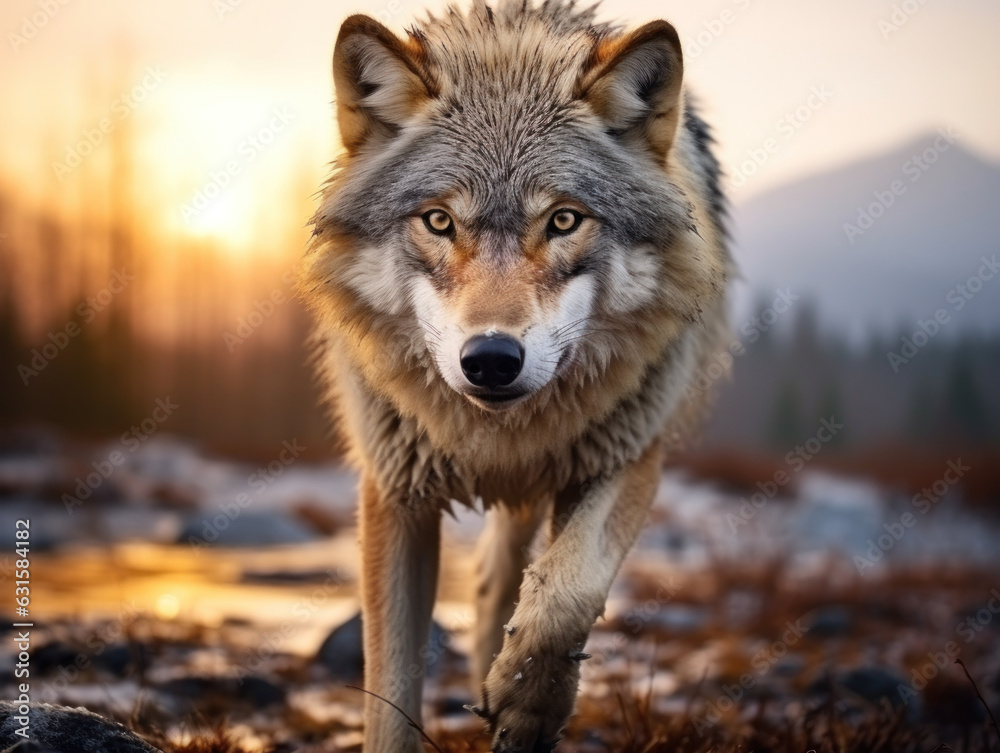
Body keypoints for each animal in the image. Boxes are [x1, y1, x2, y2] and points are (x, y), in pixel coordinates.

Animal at [300, 0, 731, 749]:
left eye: (562, 220)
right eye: (438, 221)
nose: (492, 358)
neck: (500, 437)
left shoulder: (629, 456)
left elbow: (568, 590)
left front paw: (529, 701)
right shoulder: (393, 492)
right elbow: (390, 686)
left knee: (504, 581)